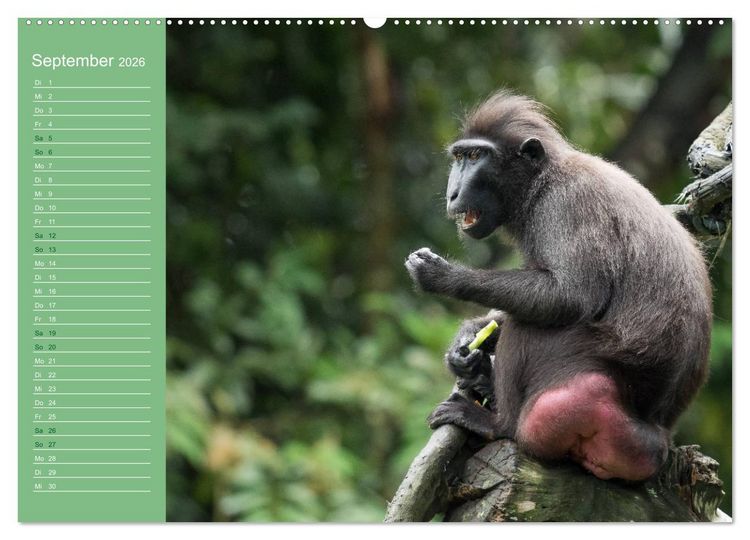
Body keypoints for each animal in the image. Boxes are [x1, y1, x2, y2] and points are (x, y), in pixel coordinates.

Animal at [405, 92, 712, 482]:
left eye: (476, 157)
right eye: (460, 157)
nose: (453, 193)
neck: (541, 181)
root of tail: (655, 431)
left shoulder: (565, 204)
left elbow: (568, 298)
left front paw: (443, 277)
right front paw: (468, 341)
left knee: (531, 324)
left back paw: (496, 423)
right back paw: (482, 378)